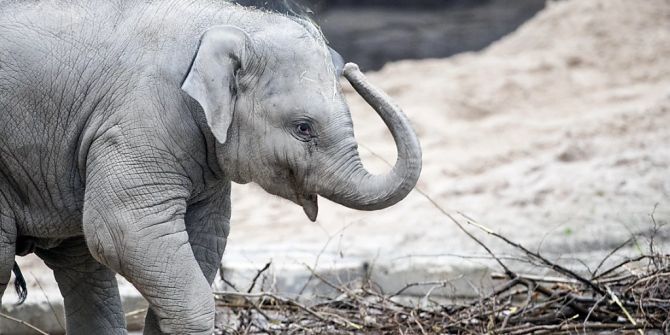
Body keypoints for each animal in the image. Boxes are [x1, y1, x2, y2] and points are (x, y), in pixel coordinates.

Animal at [0, 0, 420, 334]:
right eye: (304, 128)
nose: (352, 67)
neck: (221, 28)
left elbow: (207, 232)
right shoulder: (139, 118)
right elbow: (122, 229)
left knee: (84, 269)